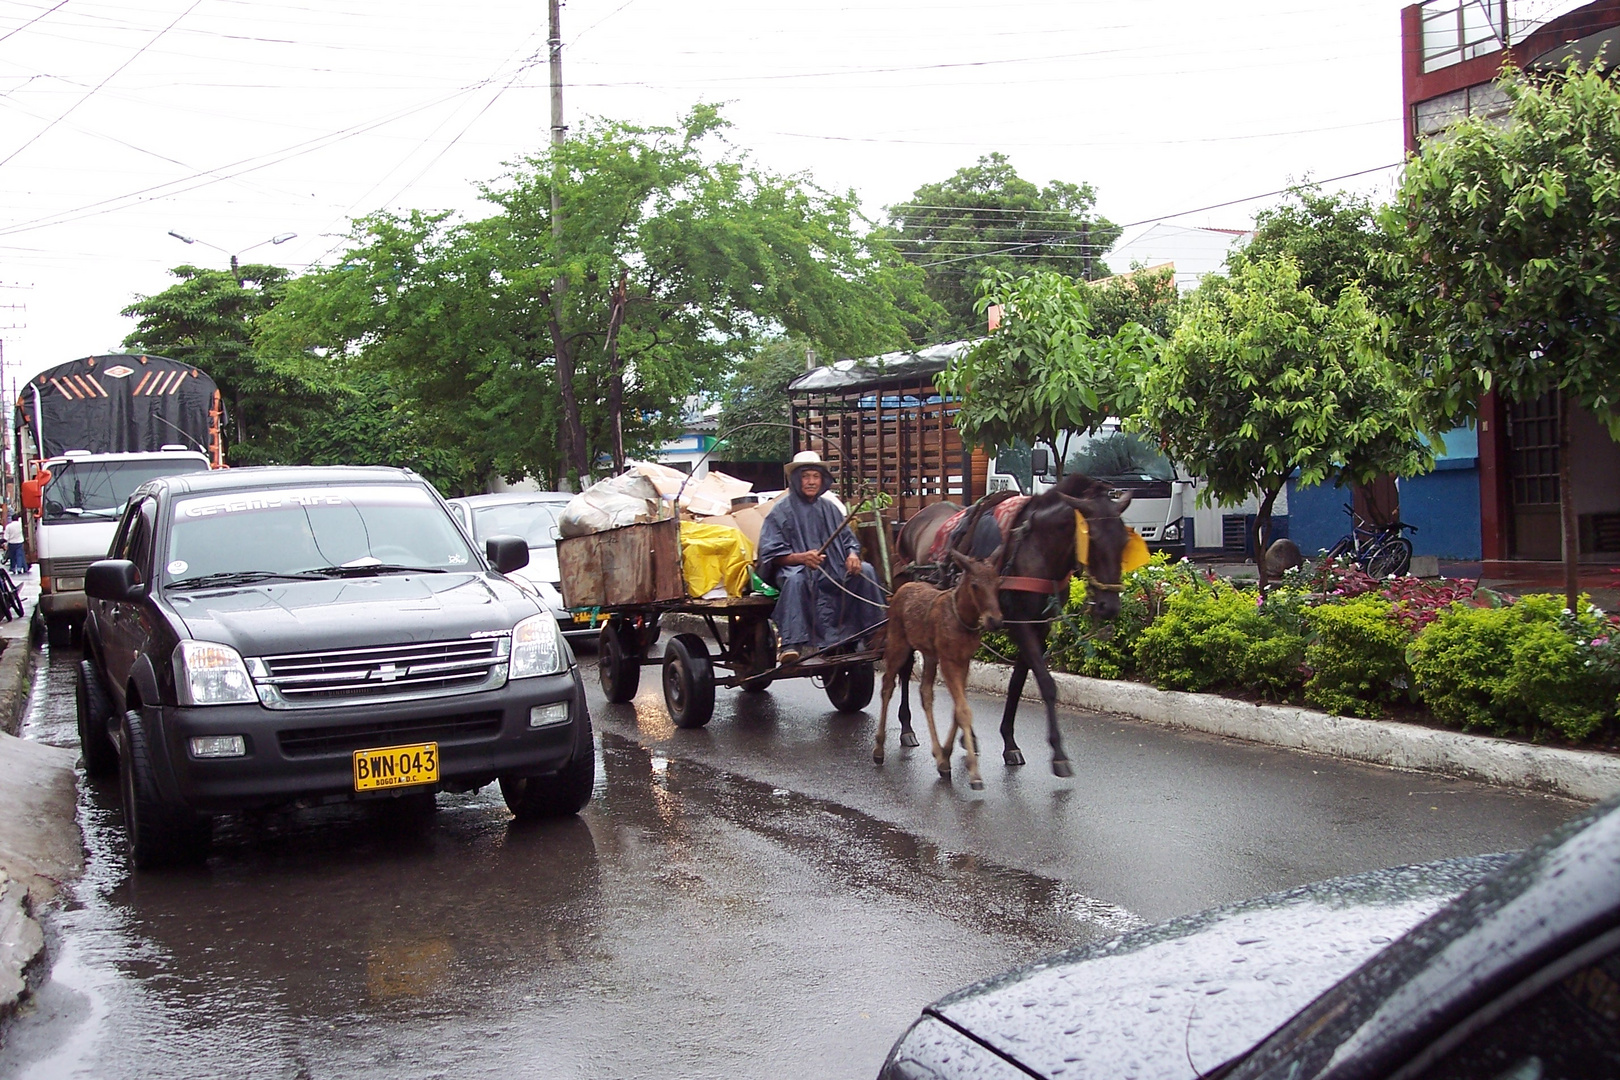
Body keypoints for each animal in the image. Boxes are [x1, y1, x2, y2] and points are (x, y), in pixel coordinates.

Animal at [874, 553, 997, 790]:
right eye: (975, 585)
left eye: (998, 582)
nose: (995, 620)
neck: (963, 619)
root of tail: (899, 590)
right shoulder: (948, 661)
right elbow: (963, 710)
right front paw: (974, 773)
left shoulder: (963, 661)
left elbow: (958, 709)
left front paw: (946, 756)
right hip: (898, 645)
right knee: (887, 685)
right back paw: (878, 749)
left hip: (929, 655)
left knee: (925, 693)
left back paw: (938, 753)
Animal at [894, 472, 1134, 777]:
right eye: (1091, 538)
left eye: (1124, 541)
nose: (1109, 606)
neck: (1036, 548)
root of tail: (912, 521)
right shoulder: (1019, 623)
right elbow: (1045, 682)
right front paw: (1058, 753)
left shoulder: (1039, 625)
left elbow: (1018, 683)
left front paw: (1009, 741)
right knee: (904, 667)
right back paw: (906, 727)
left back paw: (967, 735)